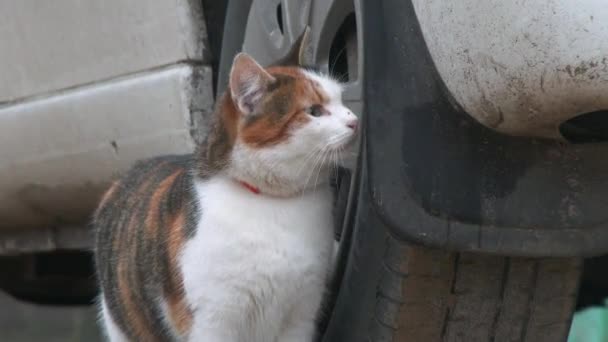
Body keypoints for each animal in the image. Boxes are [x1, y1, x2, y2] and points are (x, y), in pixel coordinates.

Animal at [93, 32, 358, 342]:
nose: (354, 120)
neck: (273, 203)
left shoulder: (301, 316)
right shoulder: (213, 320)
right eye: (314, 111)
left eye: (341, 99)